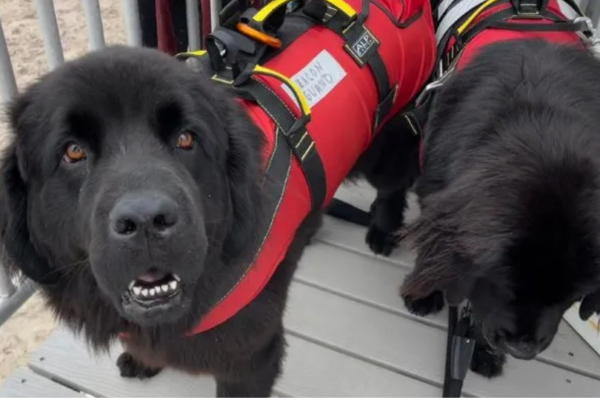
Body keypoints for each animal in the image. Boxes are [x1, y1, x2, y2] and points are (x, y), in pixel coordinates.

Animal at [0, 45, 418, 396]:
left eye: (187, 139)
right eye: (73, 151)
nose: (147, 219)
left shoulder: (252, 358)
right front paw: (142, 360)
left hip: (385, 145)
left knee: (395, 183)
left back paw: (383, 231)